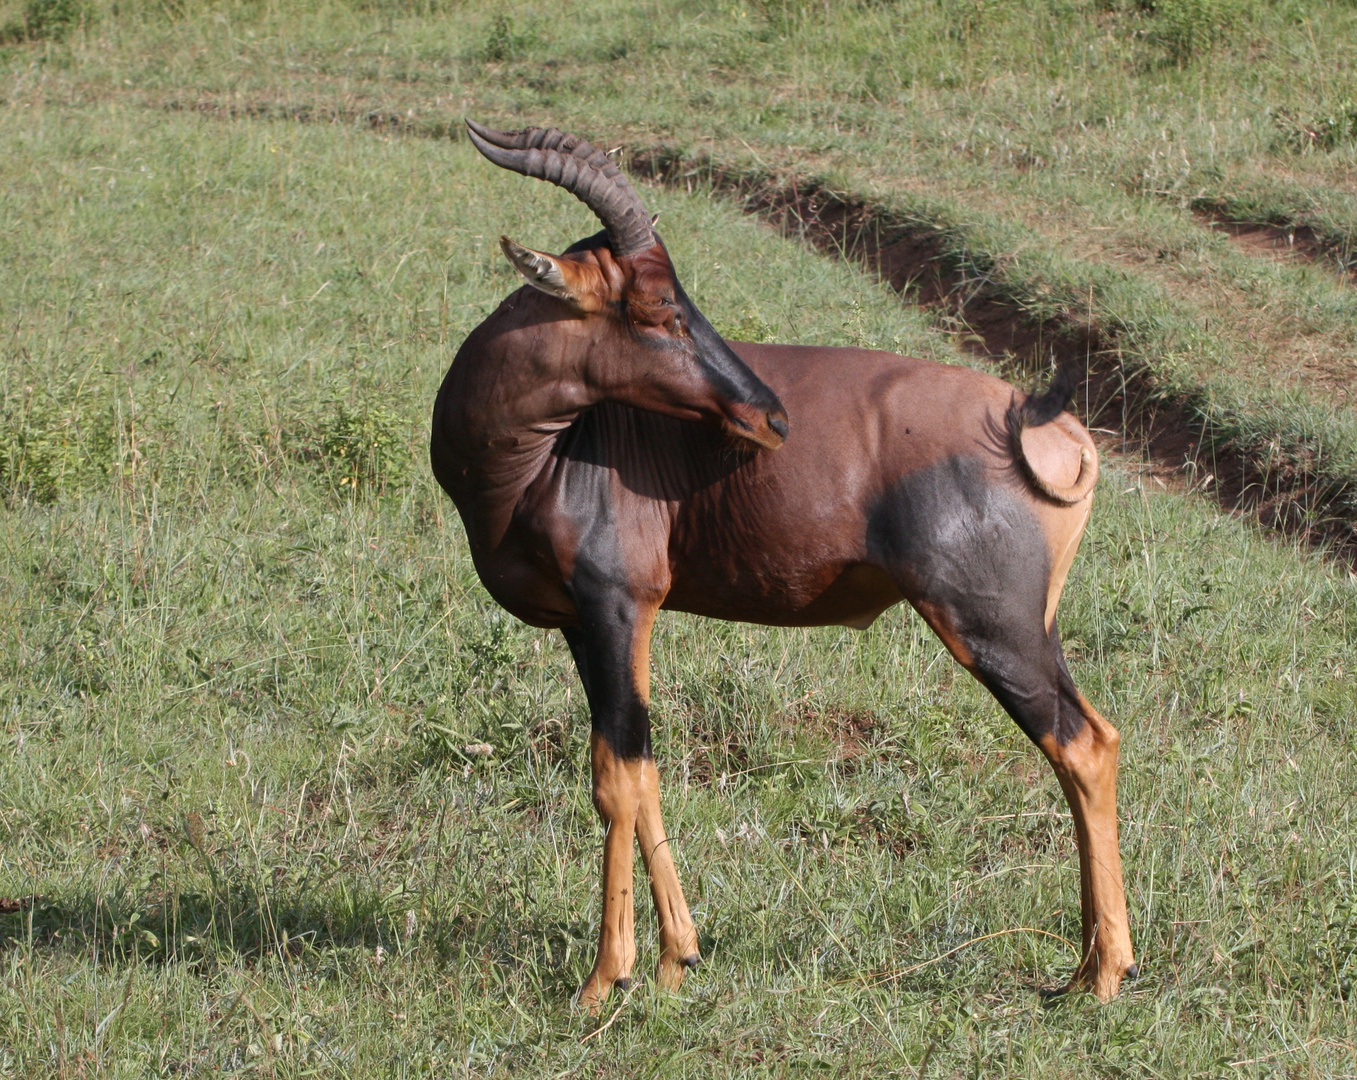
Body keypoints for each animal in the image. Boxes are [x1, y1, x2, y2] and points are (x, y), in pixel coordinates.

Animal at [431, 122, 1134, 1009]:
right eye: (657, 306)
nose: (768, 416)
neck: (545, 450)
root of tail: (1037, 419)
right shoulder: (583, 625)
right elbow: (641, 767)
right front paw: (678, 959)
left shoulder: (618, 604)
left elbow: (614, 776)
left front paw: (603, 978)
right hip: (1031, 626)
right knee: (1090, 739)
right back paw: (1080, 966)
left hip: (989, 624)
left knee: (1082, 745)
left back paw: (1103, 974)